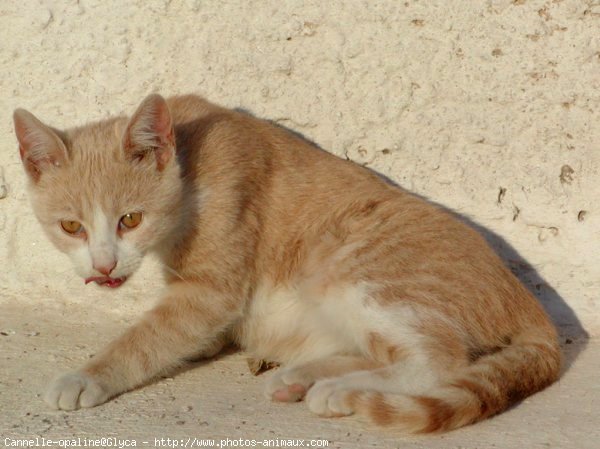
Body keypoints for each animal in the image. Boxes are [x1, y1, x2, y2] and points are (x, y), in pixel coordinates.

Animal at [11, 93, 560, 430]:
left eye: (130, 218)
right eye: (71, 227)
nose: (103, 267)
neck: (190, 165)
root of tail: (529, 305)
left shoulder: (209, 294)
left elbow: (146, 338)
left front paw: (88, 376)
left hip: (349, 262)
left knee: (440, 361)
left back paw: (338, 391)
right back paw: (304, 376)